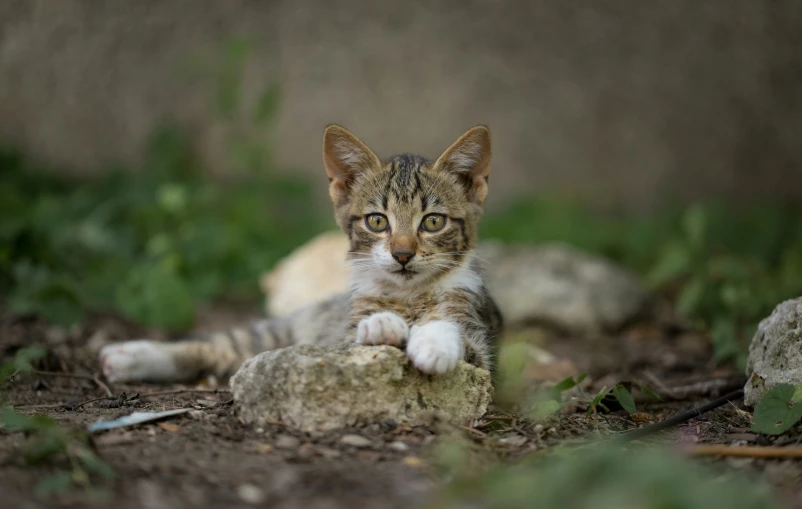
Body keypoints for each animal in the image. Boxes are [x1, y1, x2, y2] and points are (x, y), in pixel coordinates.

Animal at [98, 125, 500, 382]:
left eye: (432, 222)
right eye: (376, 221)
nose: (402, 254)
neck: (408, 295)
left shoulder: (480, 343)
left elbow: (453, 330)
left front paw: (433, 343)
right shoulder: (341, 337)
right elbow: (359, 334)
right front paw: (382, 325)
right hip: (282, 331)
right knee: (217, 344)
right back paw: (132, 356)